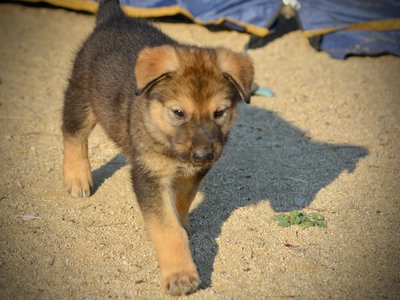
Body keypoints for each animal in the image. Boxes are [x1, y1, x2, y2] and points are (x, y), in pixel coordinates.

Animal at [62, 0, 253, 296]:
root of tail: (114, 17)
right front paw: (180, 274)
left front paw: (183, 222)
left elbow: (182, 201)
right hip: (82, 95)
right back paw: (77, 177)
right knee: (72, 134)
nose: (203, 156)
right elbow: (167, 229)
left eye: (219, 113)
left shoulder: (191, 174)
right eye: (178, 112)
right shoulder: (149, 177)